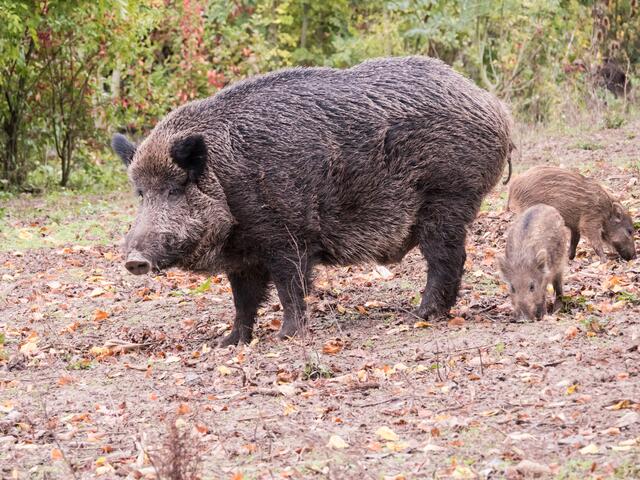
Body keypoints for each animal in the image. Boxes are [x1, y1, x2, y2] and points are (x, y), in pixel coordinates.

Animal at [111, 56, 513, 346]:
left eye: (175, 189)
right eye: (141, 193)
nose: (134, 260)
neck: (225, 178)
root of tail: (495, 108)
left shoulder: (286, 234)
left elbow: (290, 287)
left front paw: (287, 337)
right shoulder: (242, 256)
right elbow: (243, 299)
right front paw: (228, 343)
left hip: (448, 197)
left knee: (448, 258)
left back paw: (419, 316)